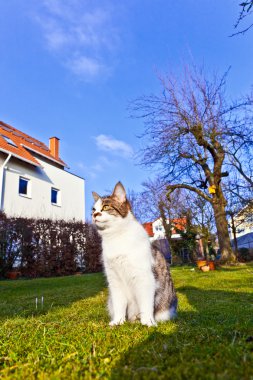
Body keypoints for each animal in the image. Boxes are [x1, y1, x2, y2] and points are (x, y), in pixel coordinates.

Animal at [92, 181, 177, 326]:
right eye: (93, 209)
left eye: (106, 207)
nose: (95, 214)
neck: (115, 237)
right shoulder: (114, 280)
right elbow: (119, 305)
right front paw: (118, 321)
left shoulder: (144, 278)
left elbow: (146, 305)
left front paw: (148, 322)